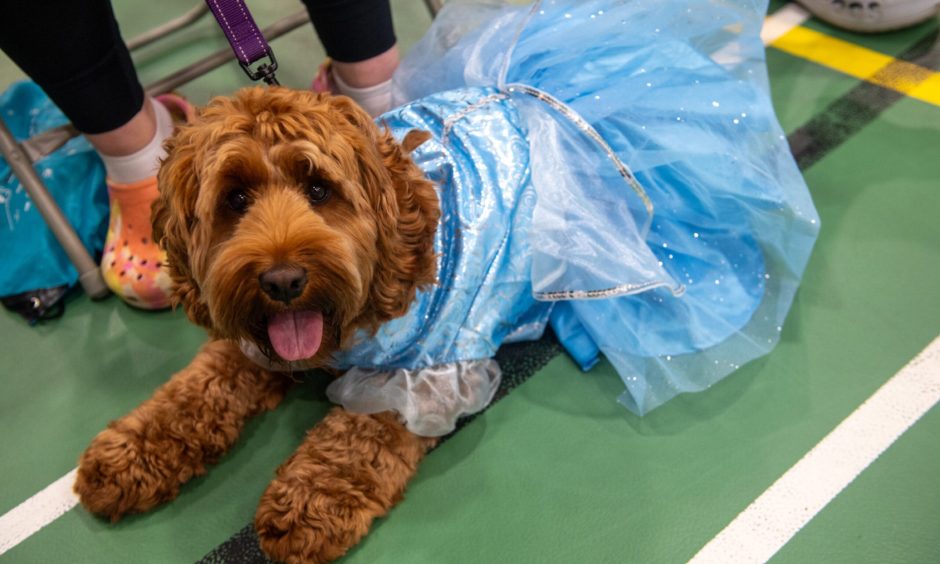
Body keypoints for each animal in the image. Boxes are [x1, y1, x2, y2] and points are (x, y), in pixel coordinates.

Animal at [71, 88, 442, 564]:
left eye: (319, 189)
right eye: (236, 198)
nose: (283, 281)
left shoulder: (417, 375)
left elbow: (358, 438)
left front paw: (309, 501)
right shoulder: (244, 342)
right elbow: (194, 391)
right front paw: (131, 451)